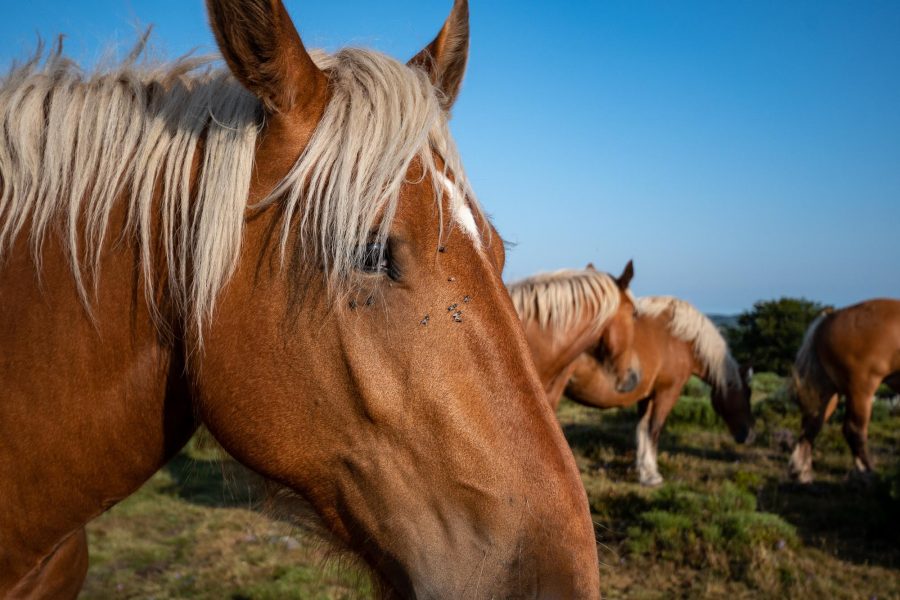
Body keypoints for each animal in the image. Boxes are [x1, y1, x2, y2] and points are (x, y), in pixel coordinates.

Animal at [566, 296, 754, 486]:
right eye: (747, 393)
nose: (750, 436)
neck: (681, 339)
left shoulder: (647, 396)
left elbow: (642, 429)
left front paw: (643, 470)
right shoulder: (667, 393)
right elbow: (654, 429)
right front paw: (651, 475)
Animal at [788, 299, 900, 484]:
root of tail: (829, 317)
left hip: (828, 391)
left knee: (811, 424)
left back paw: (801, 472)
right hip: (861, 390)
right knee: (853, 430)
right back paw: (868, 472)